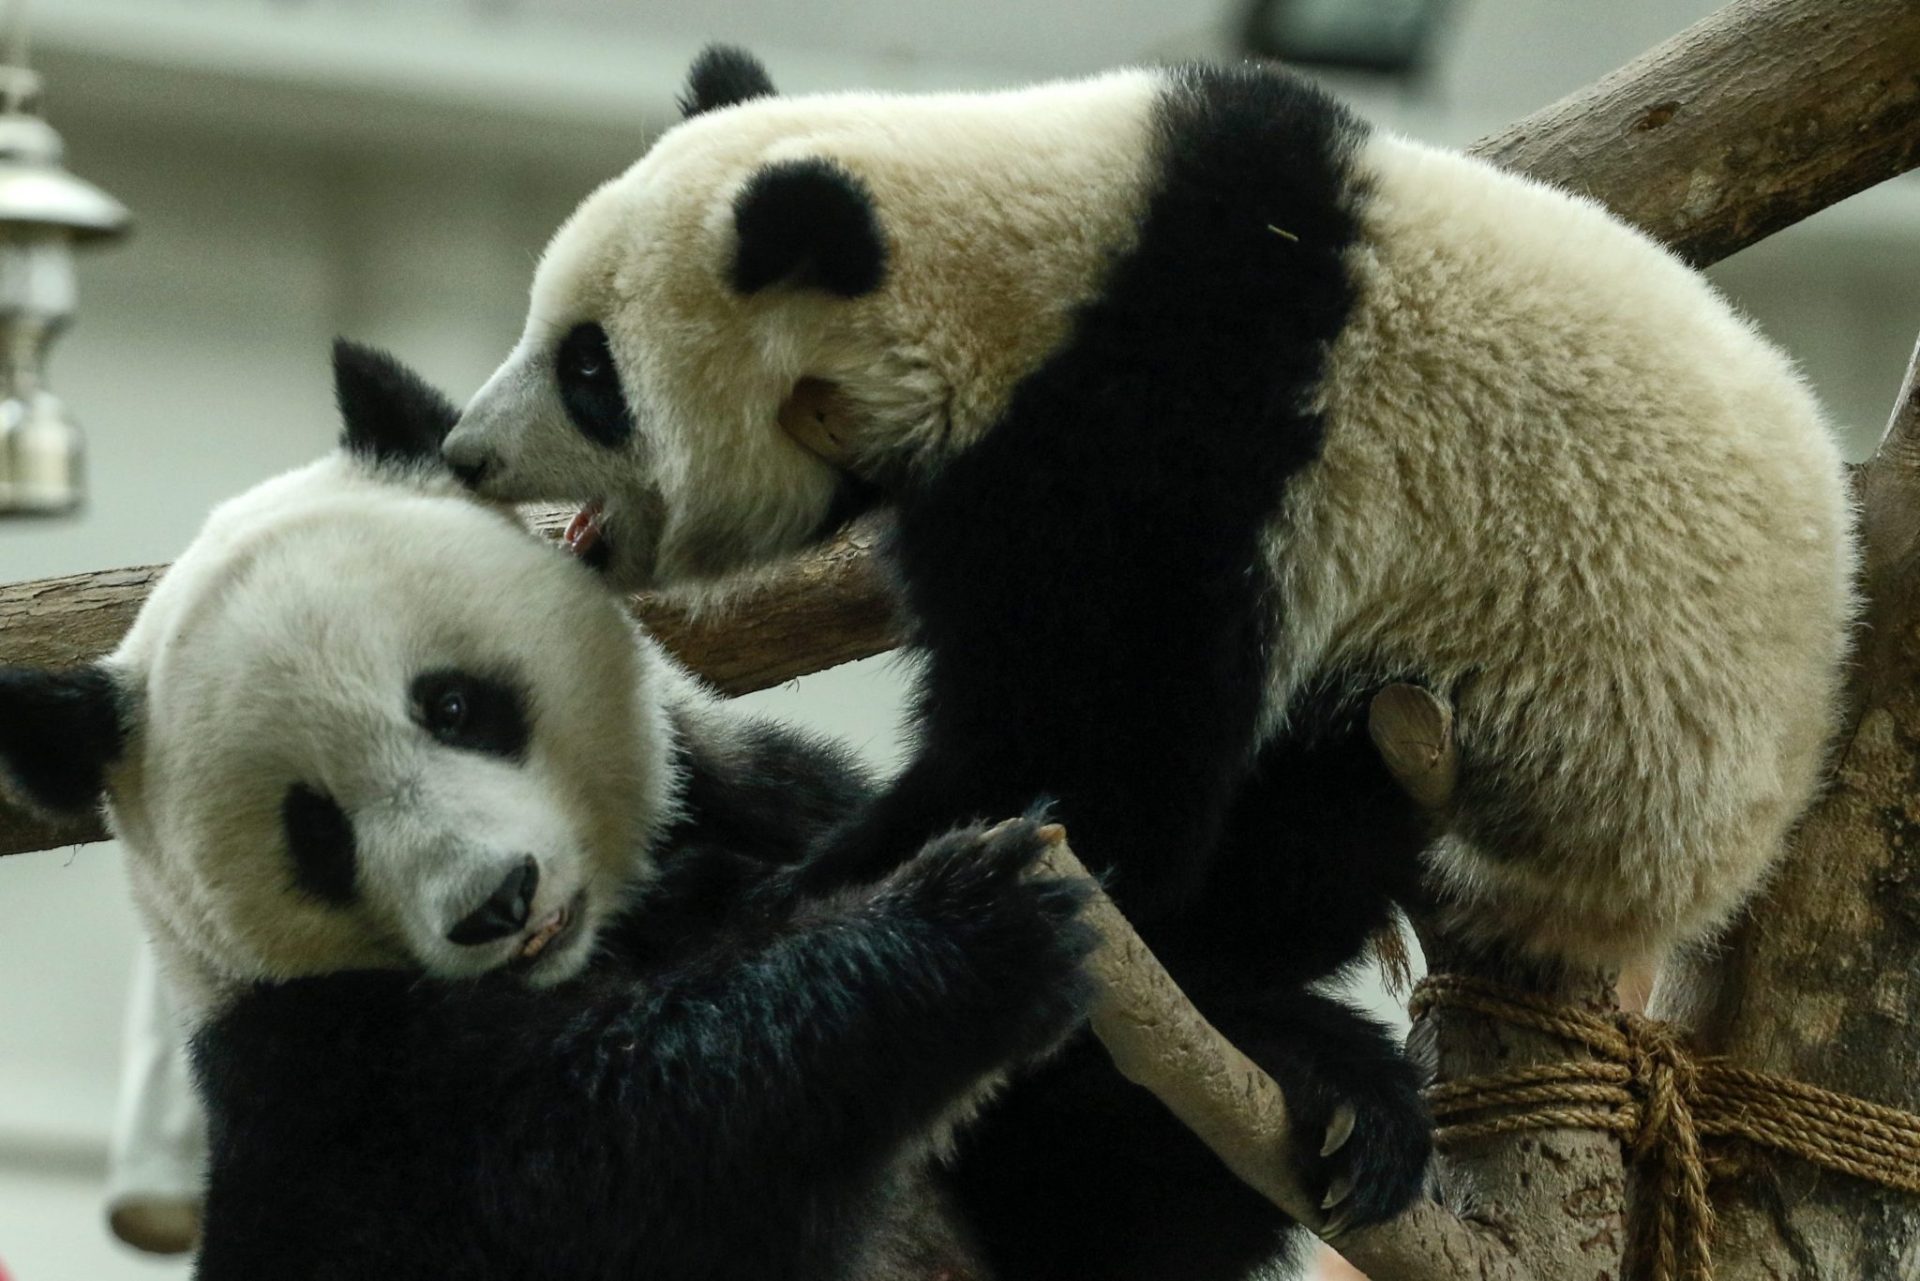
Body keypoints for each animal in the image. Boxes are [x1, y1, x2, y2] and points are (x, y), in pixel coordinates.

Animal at [0, 343, 1096, 1281]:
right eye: (315, 831)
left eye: (451, 705)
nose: (497, 902)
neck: (597, 950)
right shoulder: (317, 1078)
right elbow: (591, 1167)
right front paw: (967, 937)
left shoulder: (767, 804)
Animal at [441, 46, 1856, 1280]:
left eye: (588, 370)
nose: (464, 452)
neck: (1022, 268)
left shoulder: (1171, 438)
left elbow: (1094, 772)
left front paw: (793, 893)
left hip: (1569, 759)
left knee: (1282, 865)